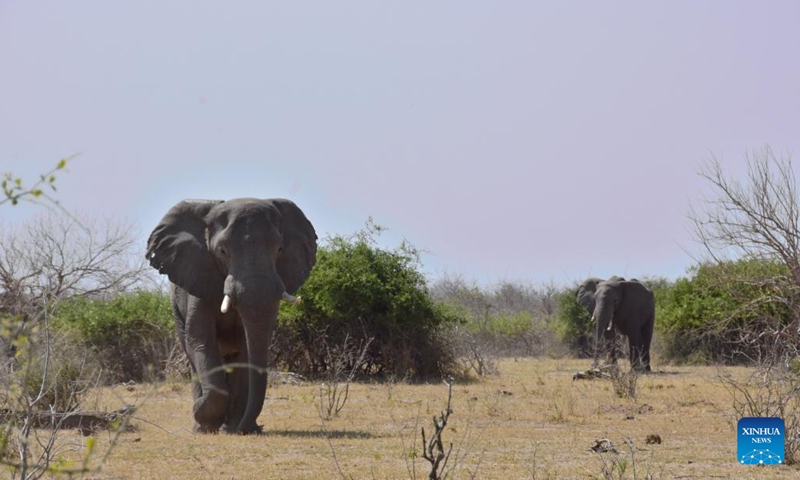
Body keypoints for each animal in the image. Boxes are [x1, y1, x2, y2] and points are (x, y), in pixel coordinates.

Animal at [147, 197, 316, 434]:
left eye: (280, 249)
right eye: (222, 251)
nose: (250, 429)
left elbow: (245, 350)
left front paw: (232, 427)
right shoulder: (199, 282)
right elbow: (200, 341)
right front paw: (204, 416)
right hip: (176, 308)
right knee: (192, 354)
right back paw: (201, 425)